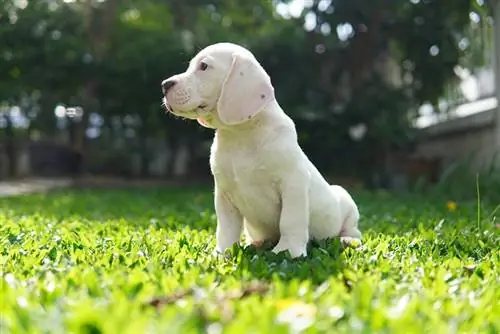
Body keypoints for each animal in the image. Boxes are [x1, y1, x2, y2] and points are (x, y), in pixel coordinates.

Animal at [162, 42, 362, 258]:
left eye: (204, 66)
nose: (164, 84)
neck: (240, 135)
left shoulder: (293, 183)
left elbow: (290, 220)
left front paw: (288, 251)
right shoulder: (224, 194)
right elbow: (226, 227)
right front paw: (222, 253)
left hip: (346, 202)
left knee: (353, 231)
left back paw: (347, 240)